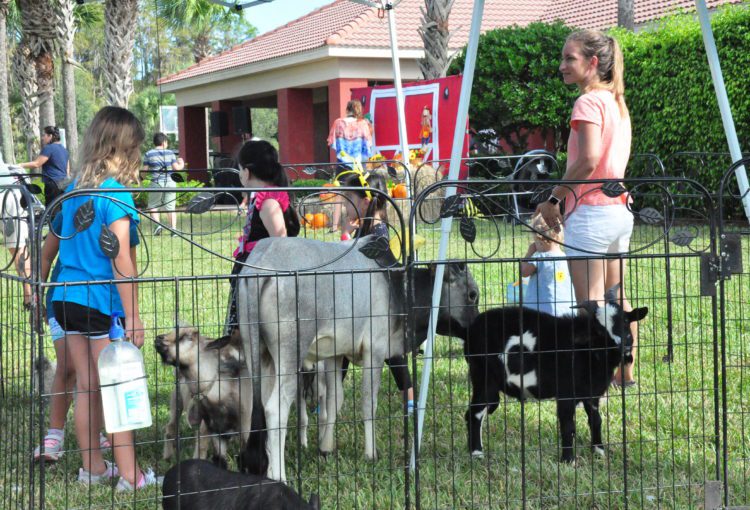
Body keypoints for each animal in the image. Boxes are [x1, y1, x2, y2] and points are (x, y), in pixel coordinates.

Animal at [462, 284, 648, 464]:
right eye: (599, 330)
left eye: (626, 321)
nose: (623, 348)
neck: (587, 352)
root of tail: (470, 330)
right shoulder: (566, 394)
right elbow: (568, 426)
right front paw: (568, 460)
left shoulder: (591, 394)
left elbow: (596, 420)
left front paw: (599, 451)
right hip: (483, 377)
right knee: (475, 413)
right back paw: (476, 453)